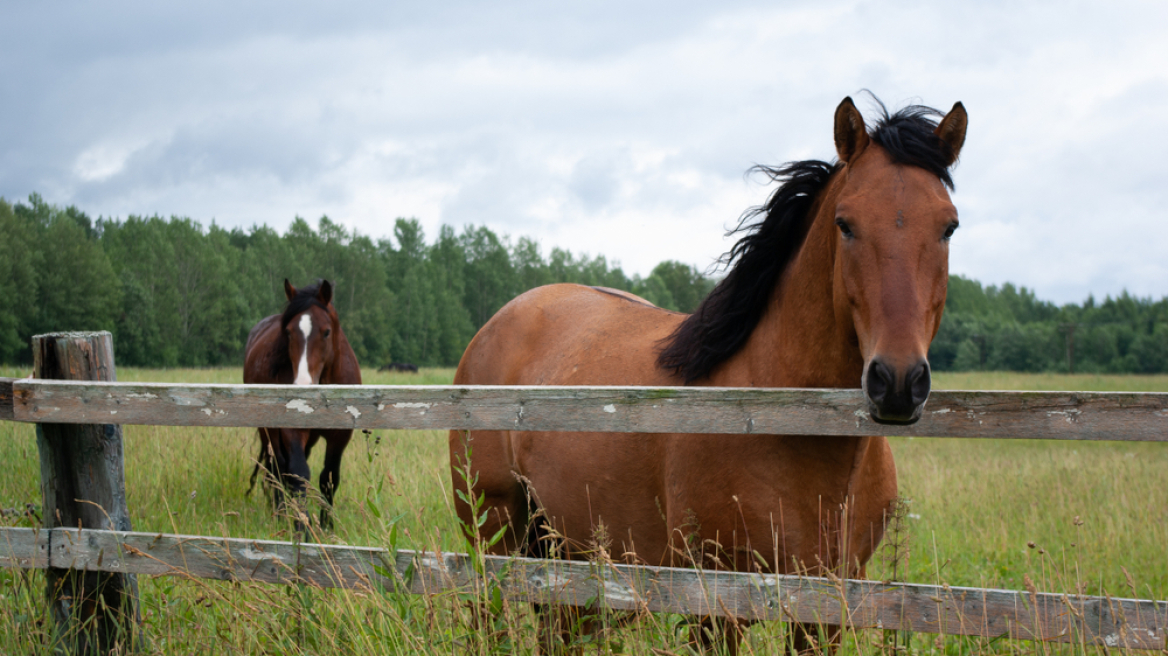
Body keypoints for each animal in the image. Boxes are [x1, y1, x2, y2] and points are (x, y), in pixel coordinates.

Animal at [241, 277, 359, 527]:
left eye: (326, 332)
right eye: (288, 332)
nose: (303, 384)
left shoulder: (340, 435)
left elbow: (329, 478)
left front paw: (326, 526)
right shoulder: (291, 429)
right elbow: (298, 474)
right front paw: (301, 525)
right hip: (268, 431)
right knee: (277, 468)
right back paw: (280, 514)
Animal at [446, 94, 967, 648]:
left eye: (948, 226)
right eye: (845, 224)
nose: (897, 383)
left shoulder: (825, 612)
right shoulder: (714, 609)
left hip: (571, 556)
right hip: (494, 537)